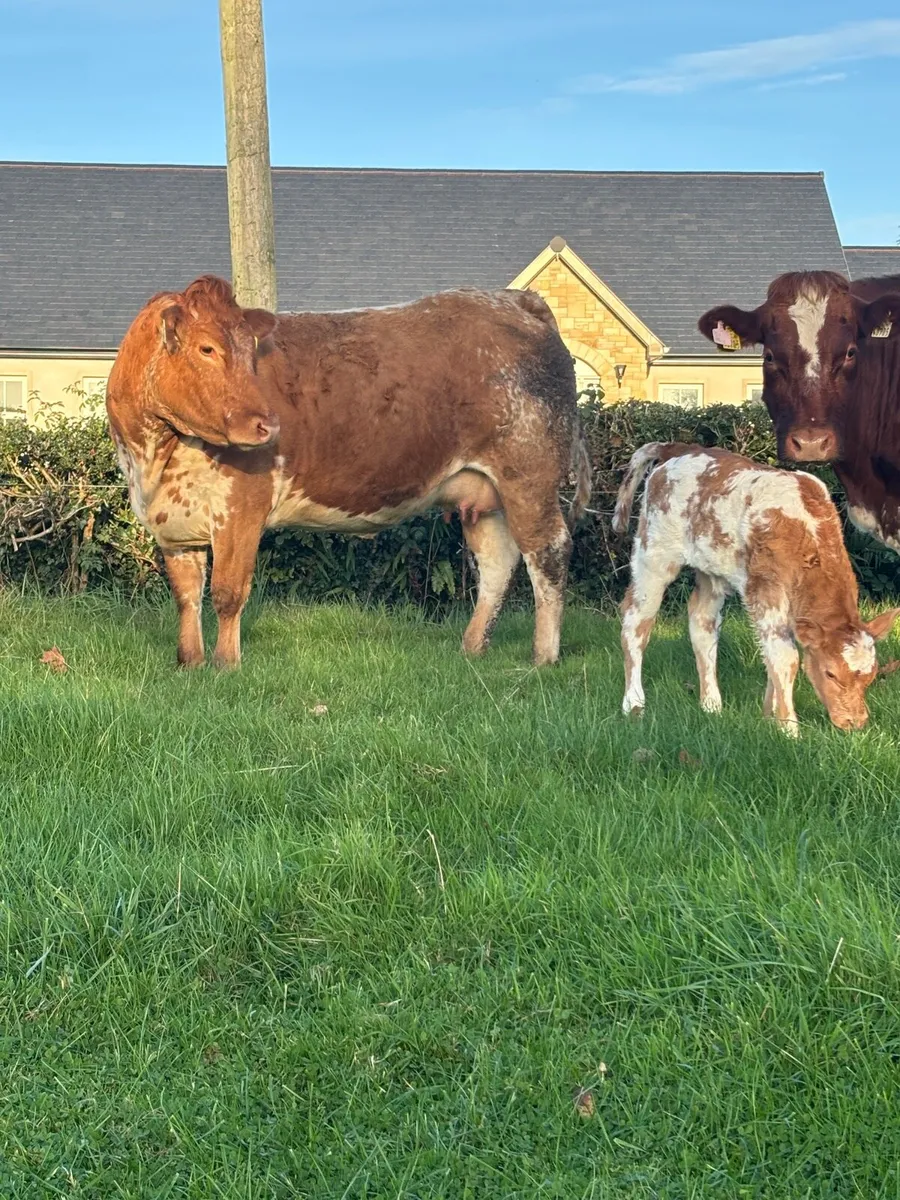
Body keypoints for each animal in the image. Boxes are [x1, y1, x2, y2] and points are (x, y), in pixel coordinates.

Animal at [106, 276, 591, 669]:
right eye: (206, 348)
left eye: (249, 352)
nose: (268, 425)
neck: (154, 457)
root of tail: (513, 299)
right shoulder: (174, 525)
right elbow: (186, 597)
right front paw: (189, 663)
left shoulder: (241, 508)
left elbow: (227, 593)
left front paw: (227, 666)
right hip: (484, 494)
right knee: (497, 561)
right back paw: (472, 647)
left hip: (528, 474)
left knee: (548, 551)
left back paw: (544, 655)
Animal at [612, 443, 900, 735]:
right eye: (830, 673)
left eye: (872, 675)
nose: (854, 723)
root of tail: (677, 448)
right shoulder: (765, 589)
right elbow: (785, 656)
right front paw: (789, 729)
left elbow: (771, 651)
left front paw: (769, 717)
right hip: (654, 554)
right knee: (636, 621)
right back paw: (634, 703)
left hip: (710, 569)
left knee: (702, 623)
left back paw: (711, 705)